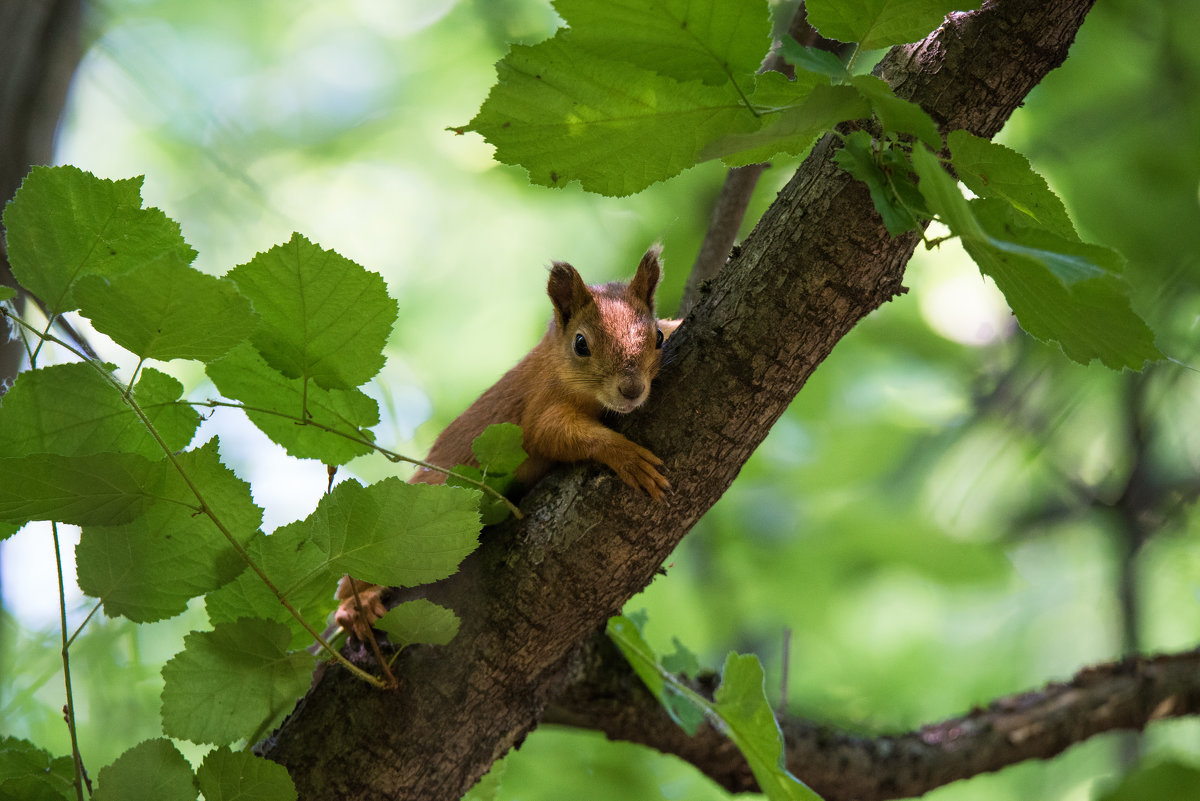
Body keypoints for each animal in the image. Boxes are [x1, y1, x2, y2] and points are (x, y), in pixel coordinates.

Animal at [336, 247, 676, 633]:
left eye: (657, 337)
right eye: (581, 344)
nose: (631, 390)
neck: (554, 362)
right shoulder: (539, 407)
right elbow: (553, 435)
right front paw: (628, 457)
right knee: (348, 583)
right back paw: (356, 605)